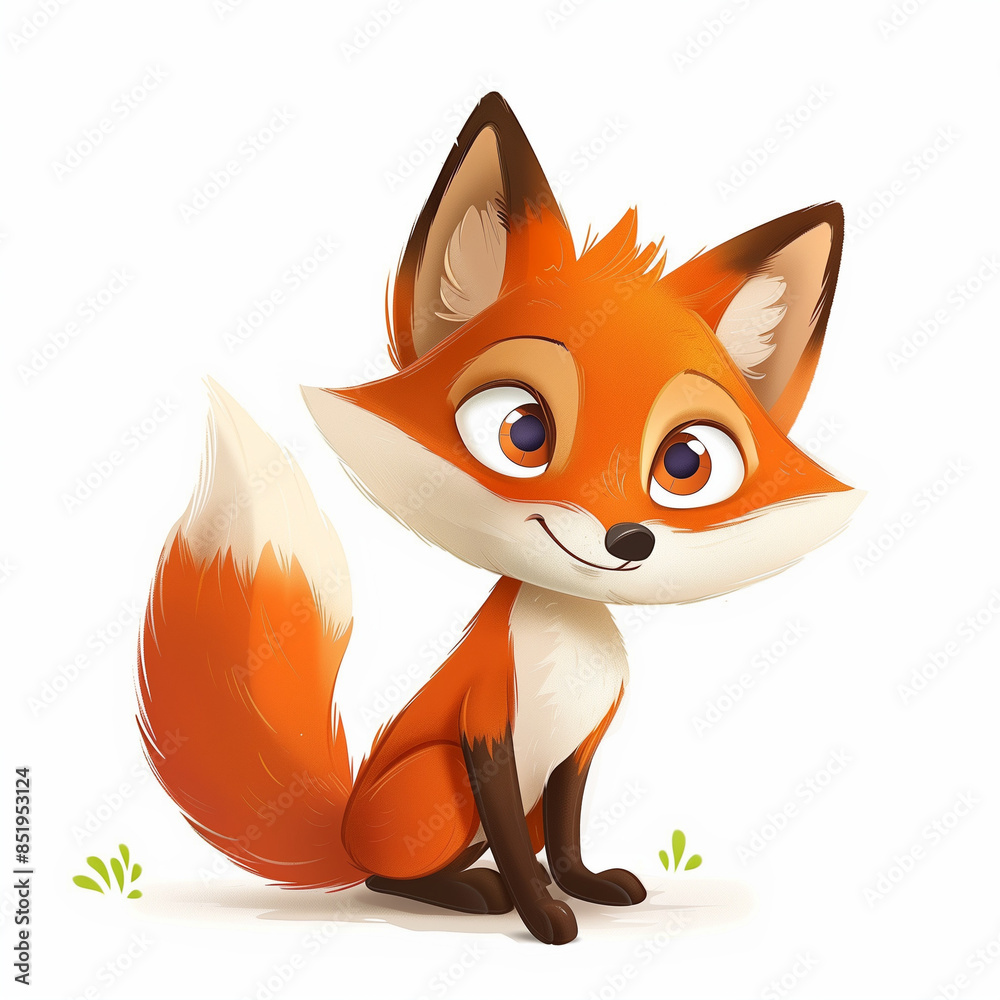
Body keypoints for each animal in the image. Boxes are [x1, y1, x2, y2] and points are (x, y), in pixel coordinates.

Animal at [136, 92, 862, 945]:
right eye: (523, 432)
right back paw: (465, 892)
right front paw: (543, 917)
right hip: (431, 785)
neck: (568, 643)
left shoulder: (581, 744)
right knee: (388, 877)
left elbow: (569, 830)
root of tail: (343, 828)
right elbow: (516, 840)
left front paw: (580, 886)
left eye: (686, 463)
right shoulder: (484, 729)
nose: (628, 539)